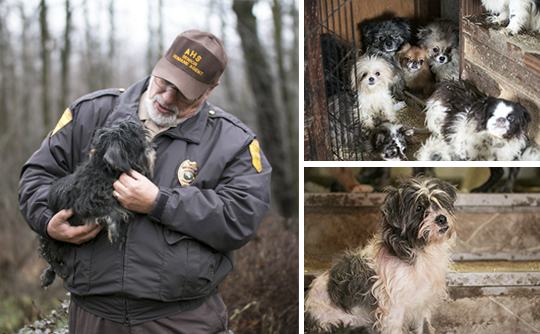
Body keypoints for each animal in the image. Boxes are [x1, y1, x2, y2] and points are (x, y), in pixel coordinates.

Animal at [38, 121, 155, 288]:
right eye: (139, 143)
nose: (152, 148)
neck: (104, 172)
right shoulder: (84, 206)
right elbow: (112, 211)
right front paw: (114, 232)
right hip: (51, 239)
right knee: (50, 257)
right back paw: (58, 272)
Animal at [304, 176, 456, 332]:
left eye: (440, 203)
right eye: (418, 208)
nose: (442, 218)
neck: (420, 250)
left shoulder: (423, 303)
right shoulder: (393, 309)